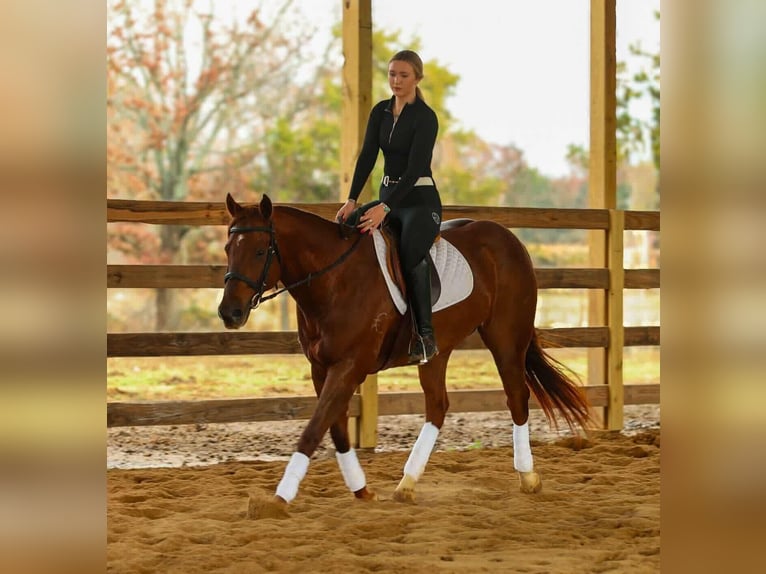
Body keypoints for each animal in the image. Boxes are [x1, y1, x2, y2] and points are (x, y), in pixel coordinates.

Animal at [218, 193, 591, 518]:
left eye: (260, 250)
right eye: (228, 248)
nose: (229, 313)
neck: (334, 279)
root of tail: (508, 238)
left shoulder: (350, 366)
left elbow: (314, 429)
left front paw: (277, 499)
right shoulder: (321, 369)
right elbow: (335, 429)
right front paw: (362, 490)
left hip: (506, 338)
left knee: (517, 397)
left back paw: (527, 477)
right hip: (438, 351)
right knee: (438, 406)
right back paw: (406, 485)